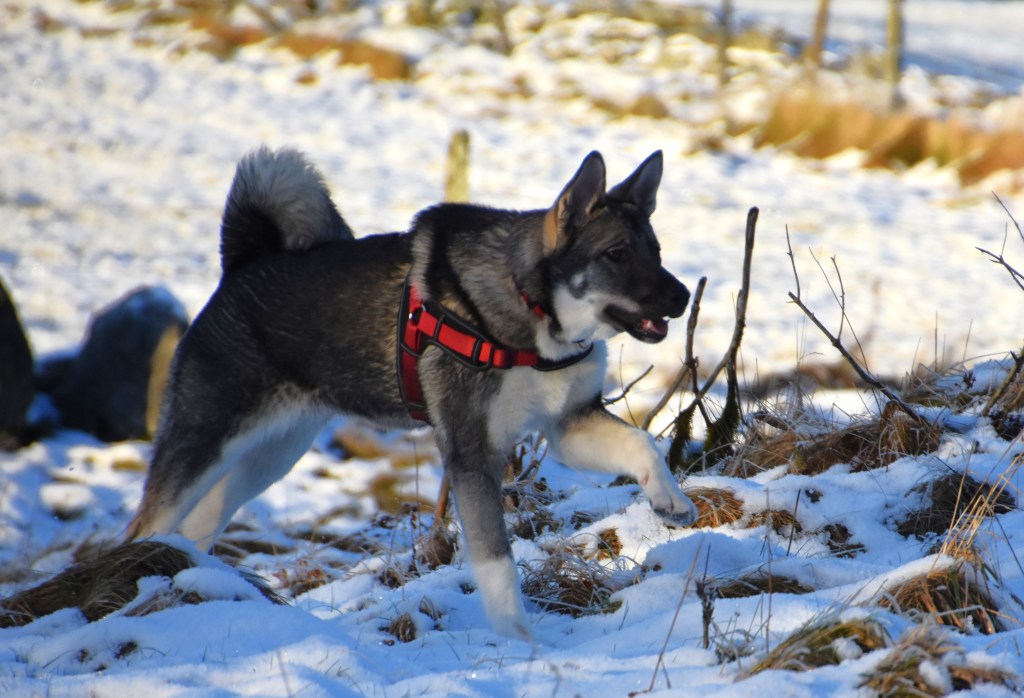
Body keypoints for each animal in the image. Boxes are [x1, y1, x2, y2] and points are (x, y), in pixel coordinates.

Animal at [127, 146, 698, 640]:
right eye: (616, 254)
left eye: (656, 251)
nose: (682, 296)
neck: (530, 311)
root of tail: (243, 265)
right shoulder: (471, 452)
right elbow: (496, 561)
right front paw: (521, 644)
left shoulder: (569, 425)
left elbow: (640, 443)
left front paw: (669, 498)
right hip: (203, 442)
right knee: (146, 526)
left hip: (271, 454)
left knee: (198, 525)